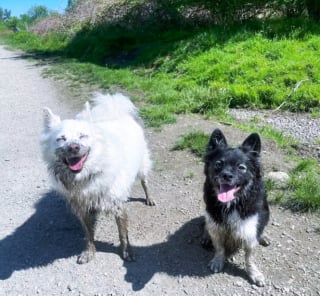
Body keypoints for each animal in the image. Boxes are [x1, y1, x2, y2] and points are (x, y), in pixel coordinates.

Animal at [41, 93, 154, 264]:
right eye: (61, 139)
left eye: (82, 135)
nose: (73, 147)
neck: (88, 176)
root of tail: (117, 113)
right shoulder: (83, 208)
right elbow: (88, 234)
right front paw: (89, 252)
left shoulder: (118, 205)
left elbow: (123, 234)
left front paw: (127, 252)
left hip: (142, 166)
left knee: (145, 182)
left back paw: (149, 198)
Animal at [202, 129, 270, 286]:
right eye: (218, 164)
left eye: (241, 167)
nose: (227, 175)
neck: (232, 203)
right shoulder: (216, 225)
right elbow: (219, 247)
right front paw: (218, 261)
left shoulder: (249, 229)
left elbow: (249, 257)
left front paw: (254, 273)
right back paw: (205, 236)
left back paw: (263, 236)